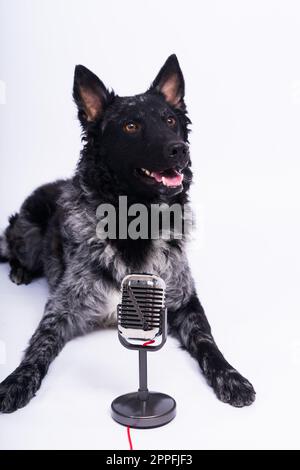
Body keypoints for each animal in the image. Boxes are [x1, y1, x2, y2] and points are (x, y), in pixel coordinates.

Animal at [0, 54, 255, 412]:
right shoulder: (62, 308)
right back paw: (20, 271)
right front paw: (16, 380)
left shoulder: (183, 300)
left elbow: (208, 340)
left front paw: (231, 376)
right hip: (27, 234)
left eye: (170, 121)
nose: (180, 149)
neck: (135, 221)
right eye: (131, 127)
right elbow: (40, 344)